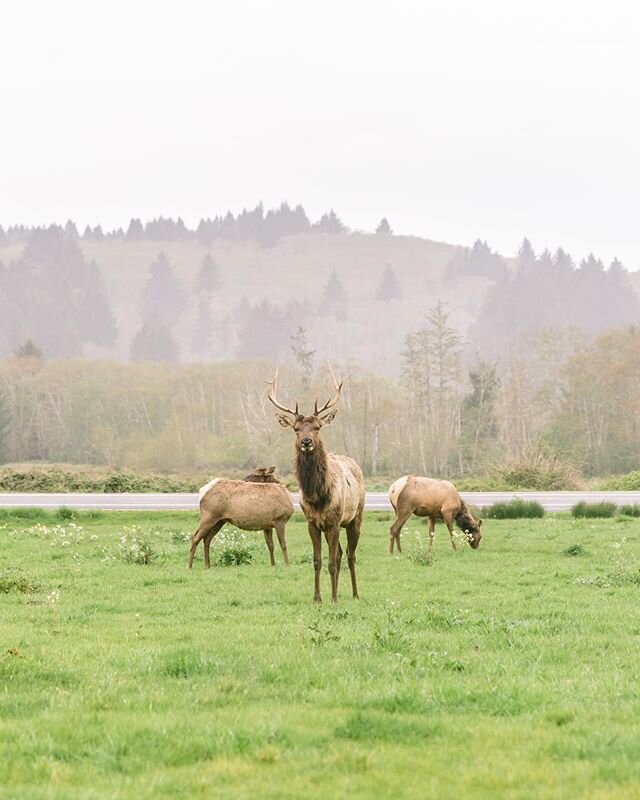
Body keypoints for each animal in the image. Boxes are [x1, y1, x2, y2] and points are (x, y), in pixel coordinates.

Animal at [266, 368, 364, 600]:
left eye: (318, 427)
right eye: (295, 428)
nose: (306, 442)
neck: (318, 495)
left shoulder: (335, 521)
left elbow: (332, 563)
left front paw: (334, 599)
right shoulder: (312, 523)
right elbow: (318, 561)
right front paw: (317, 598)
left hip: (356, 517)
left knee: (350, 555)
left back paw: (355, 594)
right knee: (340, 554)